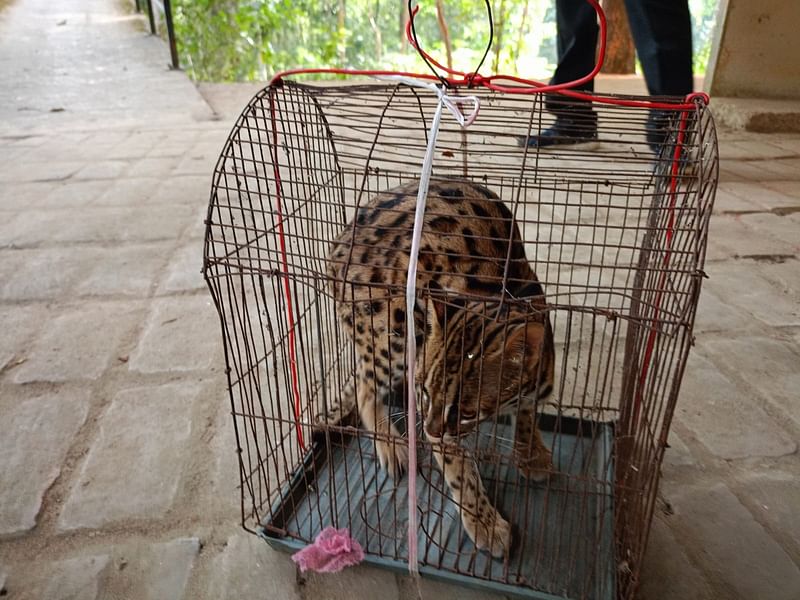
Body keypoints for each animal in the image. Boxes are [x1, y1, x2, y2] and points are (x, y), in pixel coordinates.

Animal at [322, 178, 552, 556]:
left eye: (467, 411)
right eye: (426, 393)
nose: (428, 430)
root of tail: (340, 240)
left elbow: (527, 411)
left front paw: (530, 451)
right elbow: (458, 468)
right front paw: (483, 521)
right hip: (395, 326)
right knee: (365, 385)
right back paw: (390, 443)